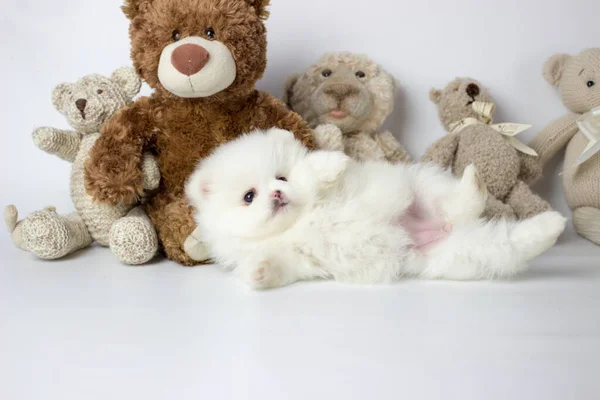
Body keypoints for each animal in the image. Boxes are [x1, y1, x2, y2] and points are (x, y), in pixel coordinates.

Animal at [188, 130, 568, 290]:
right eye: (249, 197)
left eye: (281, 177)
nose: (278, 194)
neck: (295, 224)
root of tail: (442, 229)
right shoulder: (296, 258)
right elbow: (278, 264)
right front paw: (258, 272)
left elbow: (313, 171)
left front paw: (332, 164)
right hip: (456, 256)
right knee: (505, 244)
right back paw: (549, 227)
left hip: (420, 184)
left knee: (459, 203)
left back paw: (475, 184)